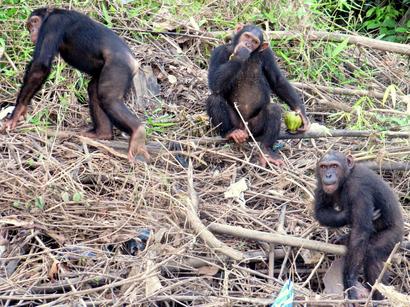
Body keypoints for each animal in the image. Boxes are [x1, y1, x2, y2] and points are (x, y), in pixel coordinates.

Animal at [1, 7, 149, 162]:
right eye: (29, 26)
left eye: (34, 22)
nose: (32, 31)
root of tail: (135, 62)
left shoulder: (53, 24)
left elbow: (40, 66)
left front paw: (17, 112)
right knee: (94, 90)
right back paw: (102, 134)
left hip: (119, 67)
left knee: (108, 98)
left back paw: (137, 133)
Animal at [314, 151, 404, 300]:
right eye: (323, 167)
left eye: (334, 166)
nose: (328, 175)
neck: (346, 178)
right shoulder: (321, 184)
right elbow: (320, 211)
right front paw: (348, 214)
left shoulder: (358, 188)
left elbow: (360, 233)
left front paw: (350, 280)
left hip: (395, 236)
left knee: (372, 252)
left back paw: (378, 298)